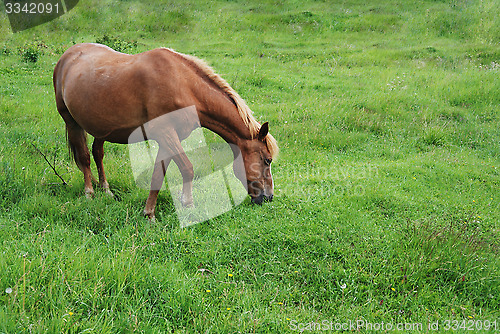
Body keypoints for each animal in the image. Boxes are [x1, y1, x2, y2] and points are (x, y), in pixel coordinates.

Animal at [53, 43, 280, 219]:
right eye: (267, 160)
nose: (269, 197)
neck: (183, 85)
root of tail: (67, 56)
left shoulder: (168, 139)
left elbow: (158, 174)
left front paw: (149, 213)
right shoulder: (166, 135)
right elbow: (187, 168)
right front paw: (186, 203)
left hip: (101, 129)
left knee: (97, 153)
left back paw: (106, 190)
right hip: (72, 122)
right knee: (84, 157)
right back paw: (89, 193)